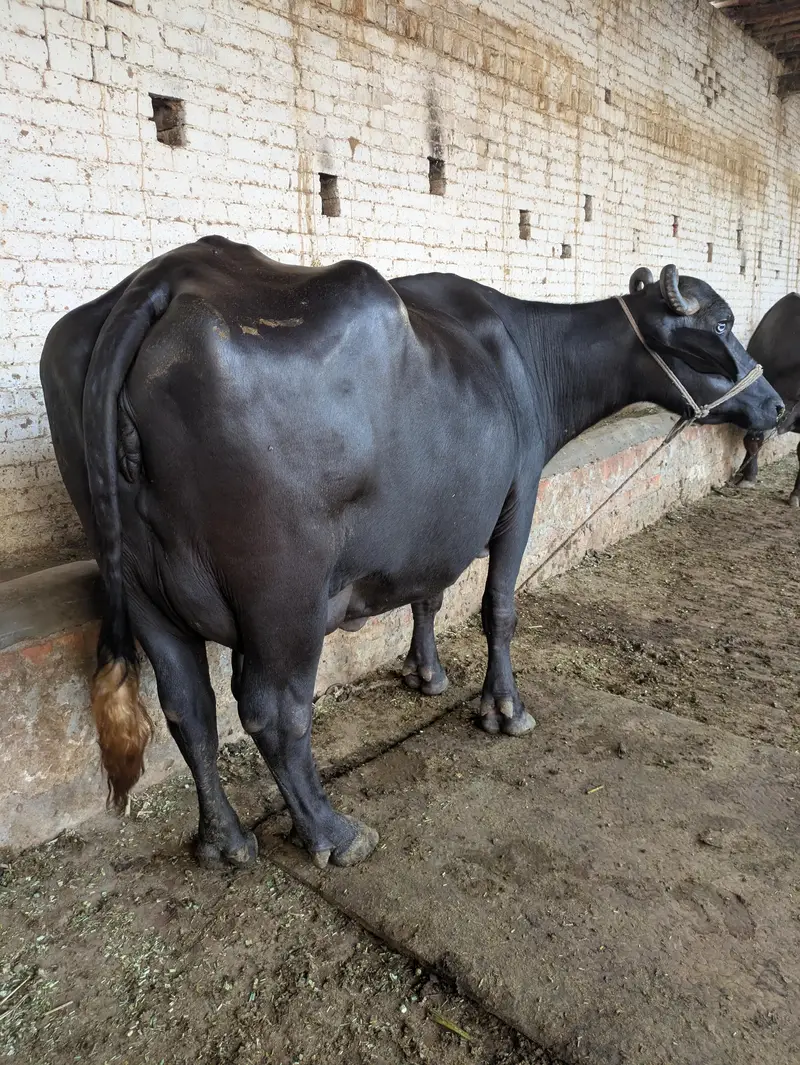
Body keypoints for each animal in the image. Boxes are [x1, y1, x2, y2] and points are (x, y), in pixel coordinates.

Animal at [40, 238, 783, 868]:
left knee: (188, 709)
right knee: (273, 712)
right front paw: (503, 709)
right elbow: (498, 608)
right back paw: (333, 833)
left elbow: (429, 594)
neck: (524, 359)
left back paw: (223, 841)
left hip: (140, 587)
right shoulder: (517, 497)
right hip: (283, 594)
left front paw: (425, 673)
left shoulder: (437, 521)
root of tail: (165, 278)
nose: (775, 404)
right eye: (720, 326)